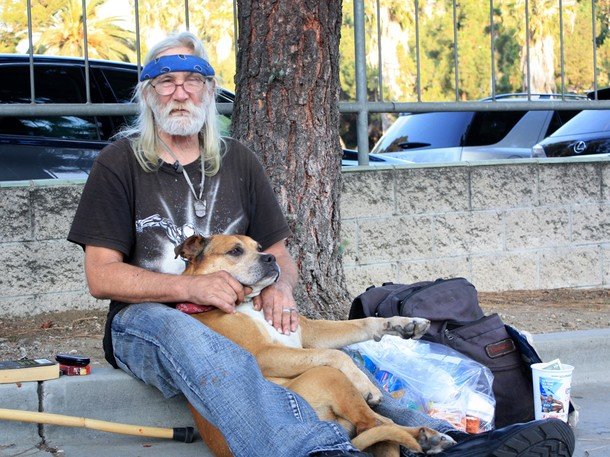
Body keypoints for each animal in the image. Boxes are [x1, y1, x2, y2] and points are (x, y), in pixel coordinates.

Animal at [173, 235, 454, 456]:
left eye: (259, 246)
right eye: (235, 250)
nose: (270, 258)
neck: (246, 303)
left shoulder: (310, 332)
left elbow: (363, 324)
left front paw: (403, 323)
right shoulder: (263, 353)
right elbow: (337, 356)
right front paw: (364, 384)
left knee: (380, 423)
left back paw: (429, 437)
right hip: (325, 377)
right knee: (371, 424)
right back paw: (425, 438)